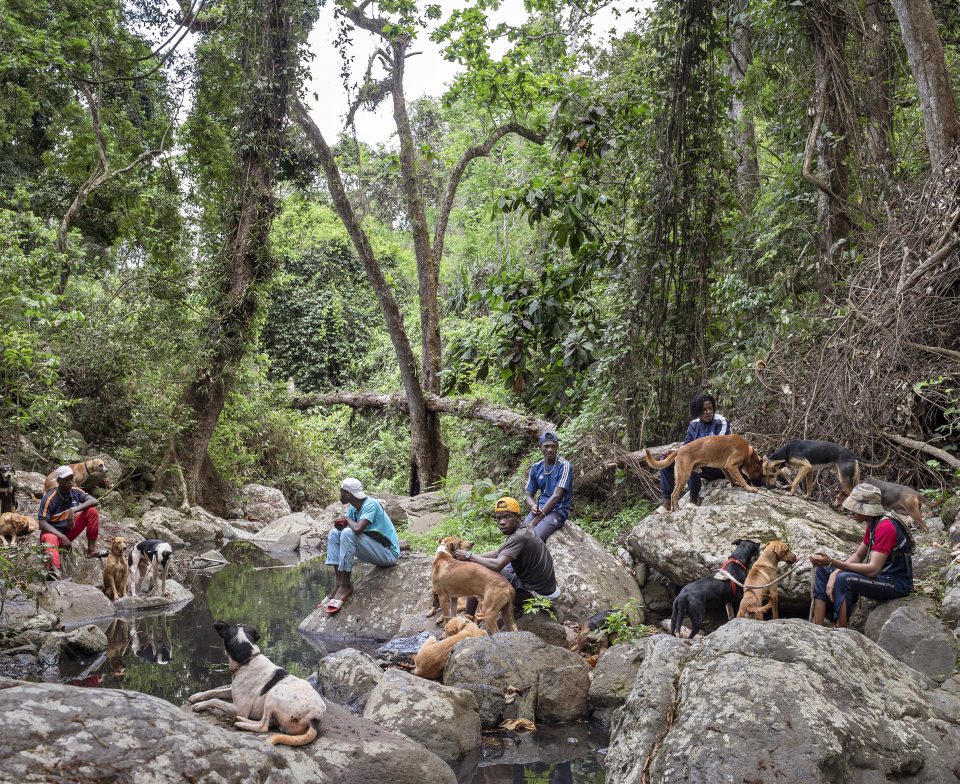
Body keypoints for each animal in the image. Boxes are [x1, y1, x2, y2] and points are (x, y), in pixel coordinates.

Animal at [188, 621, 326, 746]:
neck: (247, 660)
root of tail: (315, 718)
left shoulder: (239, 708)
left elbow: (215, 700)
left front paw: (200, 705)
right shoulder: (232, 691)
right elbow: (213, 691)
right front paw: (197, 696)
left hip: (273, 695)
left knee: (263, 726)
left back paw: (241, 723)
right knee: (268, 723)